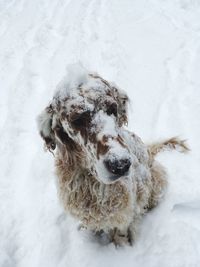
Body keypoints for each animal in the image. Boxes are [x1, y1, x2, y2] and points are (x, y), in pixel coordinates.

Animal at [37, 66, 189, 246]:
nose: (120, 165)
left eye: (112, 109)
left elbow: (121, 230)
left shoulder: (123, 213)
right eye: (77, 119)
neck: (91, 181)